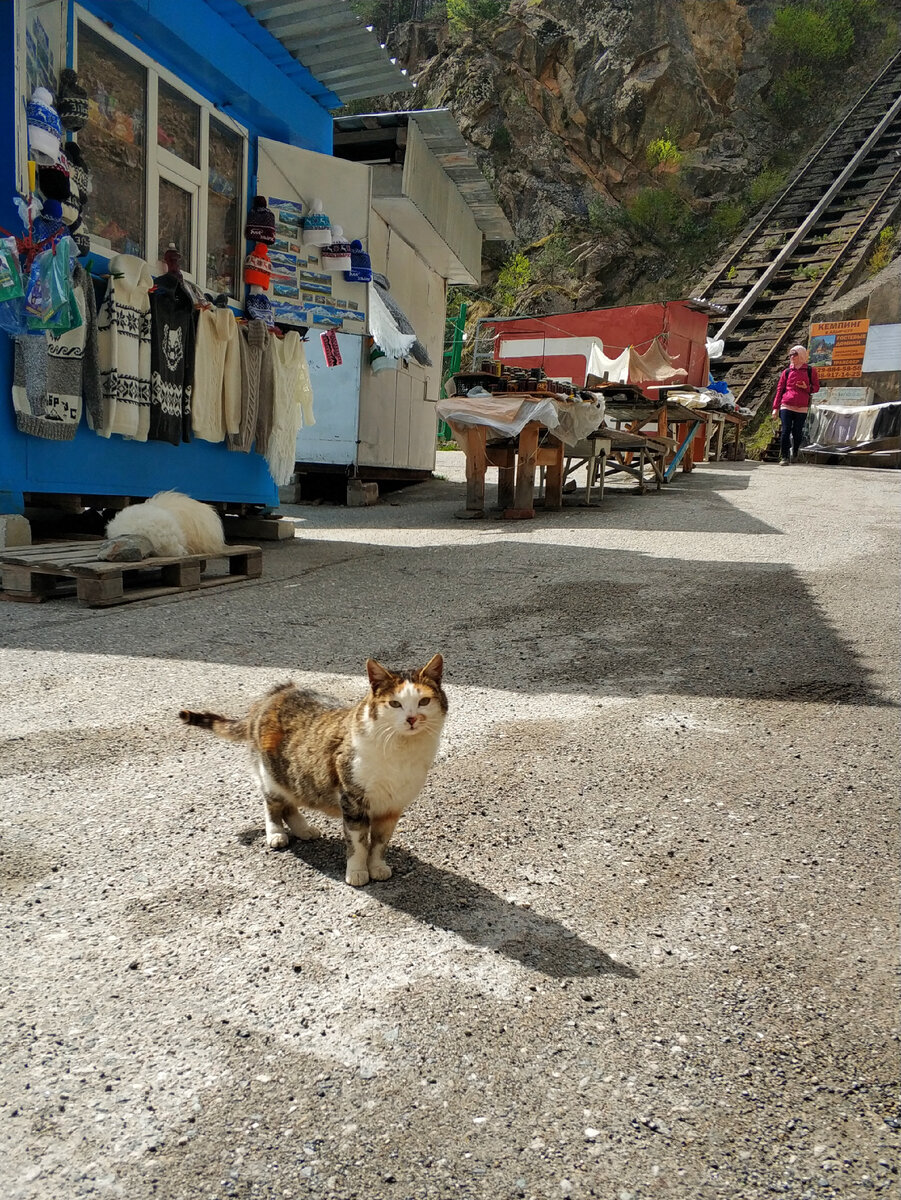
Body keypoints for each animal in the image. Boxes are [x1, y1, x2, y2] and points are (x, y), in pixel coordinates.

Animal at [177, 652, 446, 888]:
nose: (412, 719)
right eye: (395, 704)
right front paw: (357, 872)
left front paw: (377, 867)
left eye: (424, 701)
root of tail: (275, 693)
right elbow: (359, 843)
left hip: (297, 777)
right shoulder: (353, 801)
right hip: (272, 775)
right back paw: (276, 833)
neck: (401, 752)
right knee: (273, 804)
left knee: (290, 805)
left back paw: (304, 830)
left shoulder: (391, 807)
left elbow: (379, 843)